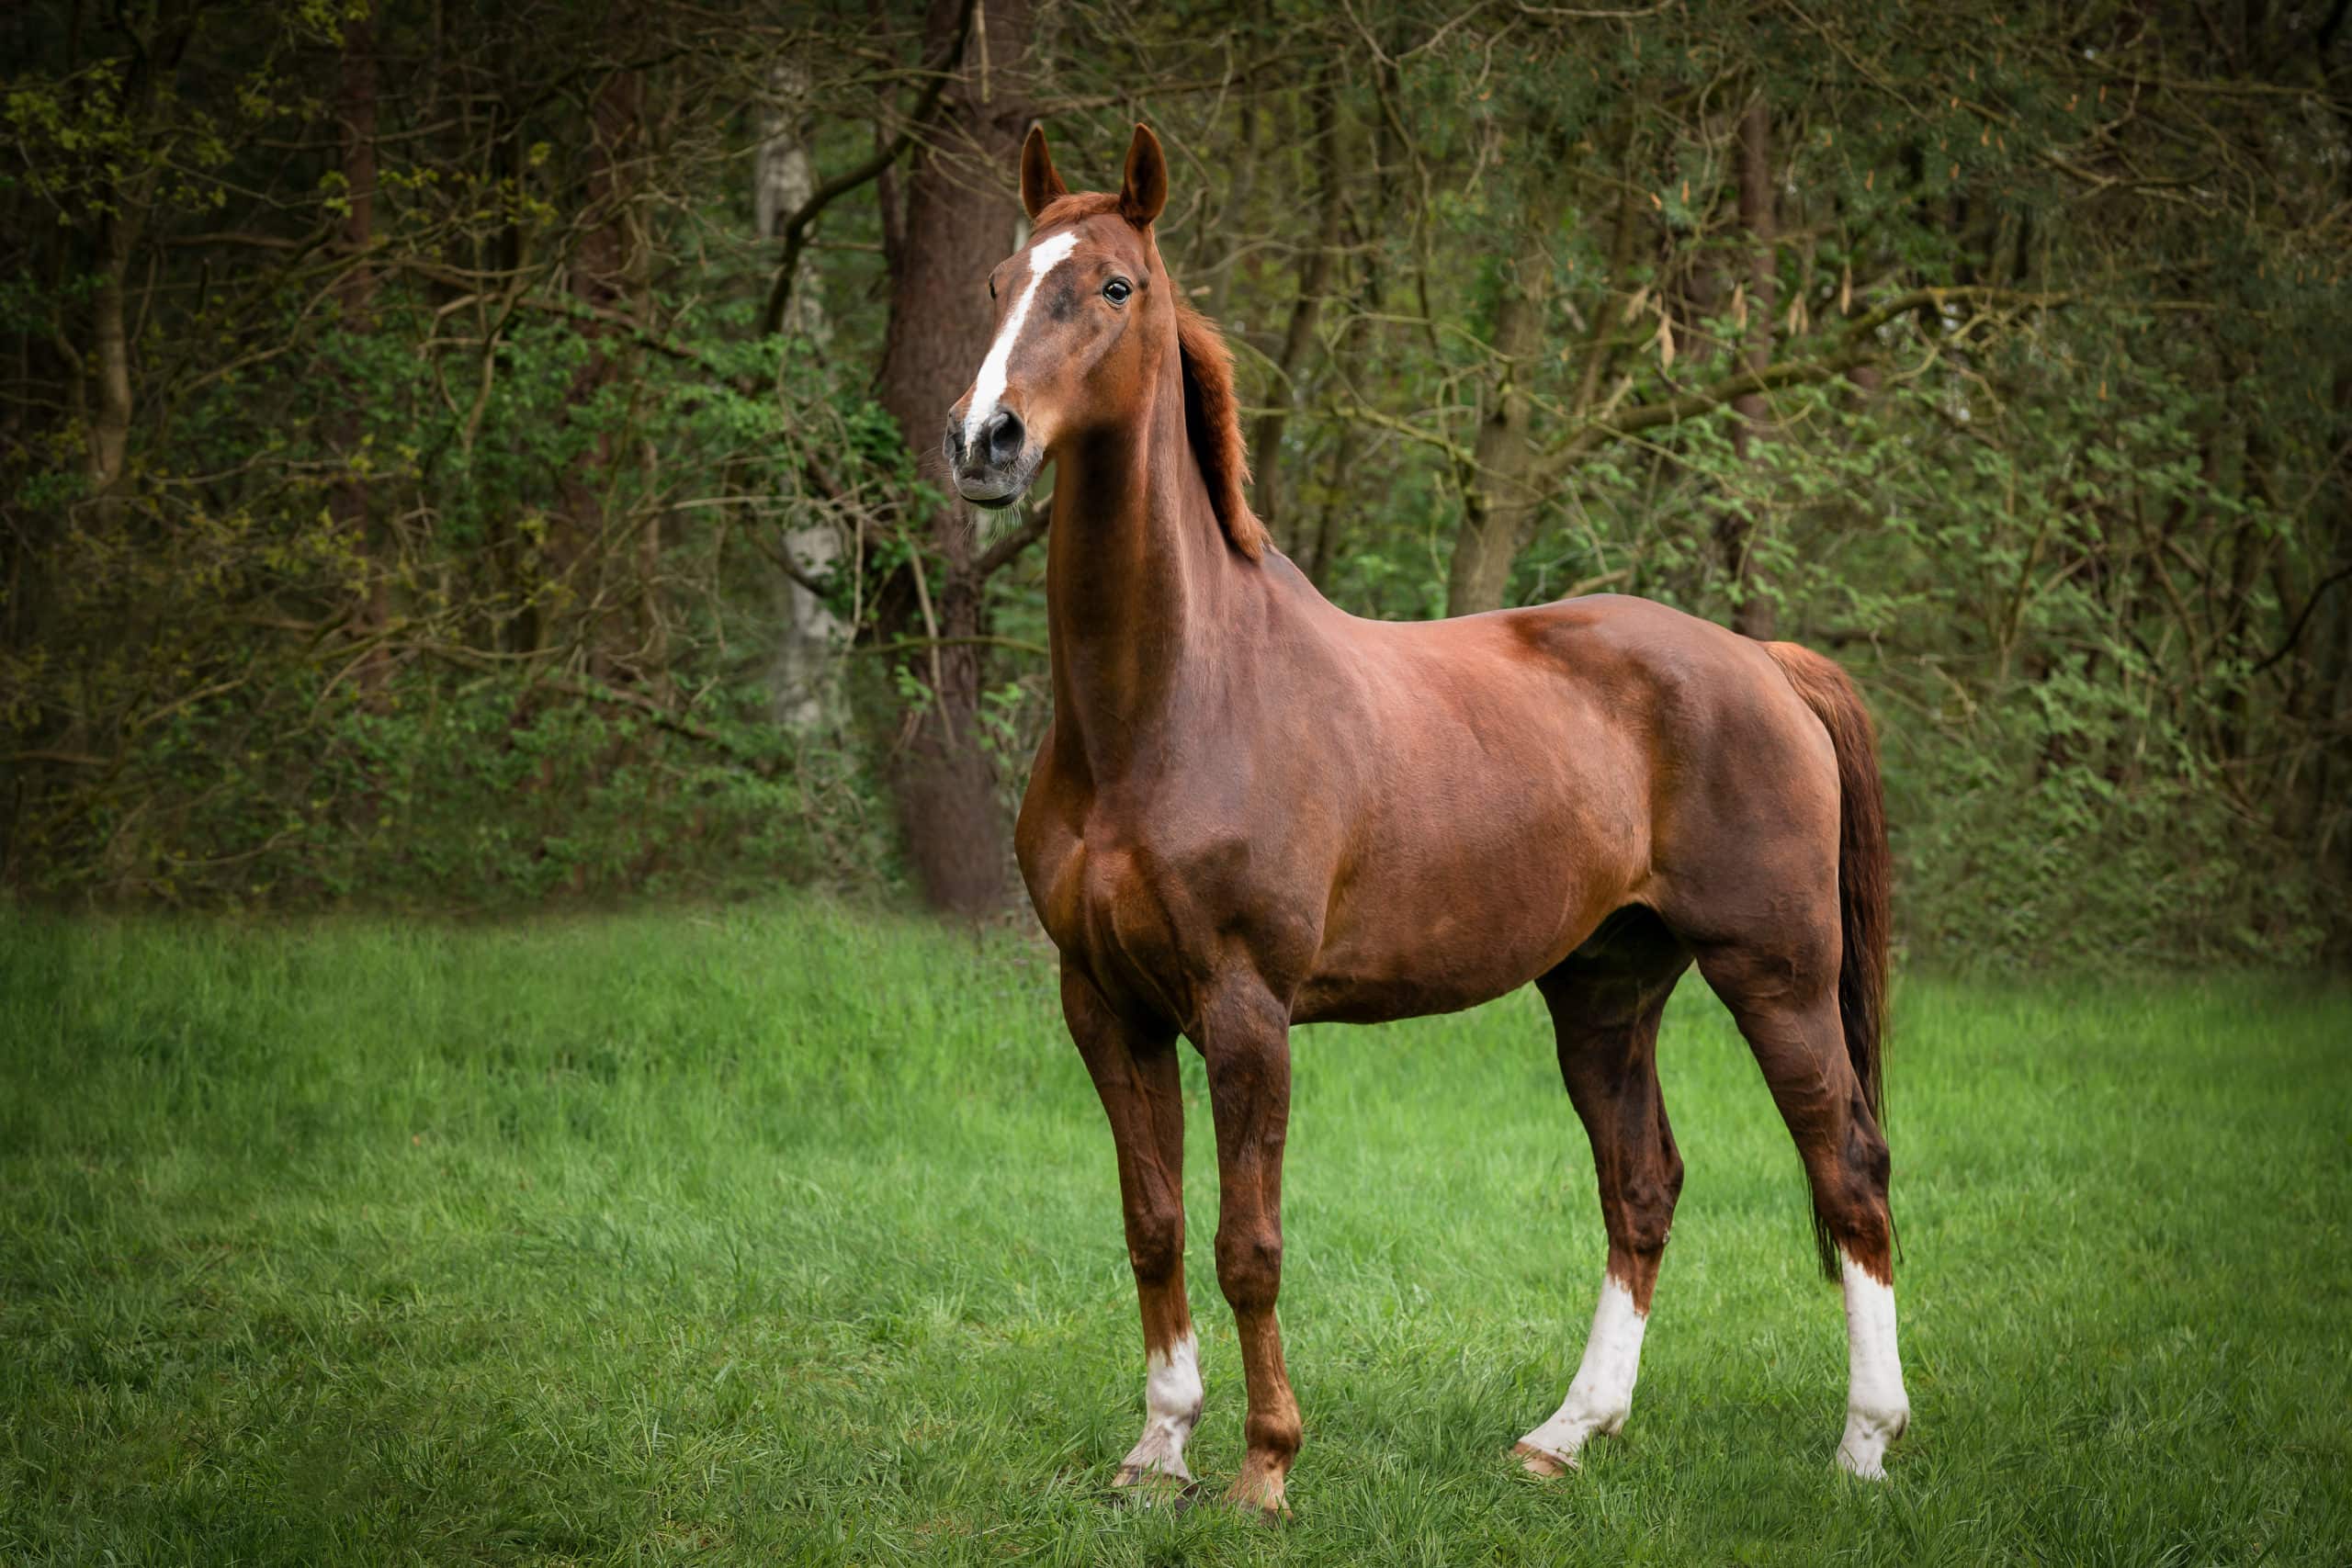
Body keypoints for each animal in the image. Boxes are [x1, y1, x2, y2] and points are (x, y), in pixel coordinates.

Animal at [935, 125, 1909, 1523]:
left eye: (1115, 285)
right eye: (1003, 278)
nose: (986, 440)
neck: (1171, 704)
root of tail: (1763, 664)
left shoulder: (1245, 1010)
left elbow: (1246, 1241)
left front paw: (1266, 1466)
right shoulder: (1104, 1004)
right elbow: (1152, 1222)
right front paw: (1158, 1449)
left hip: (1776, 974)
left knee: (1851, 1171)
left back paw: (1863, 1448)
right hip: (1605, 990)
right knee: (1643, 1185)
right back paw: (1566, 1433)